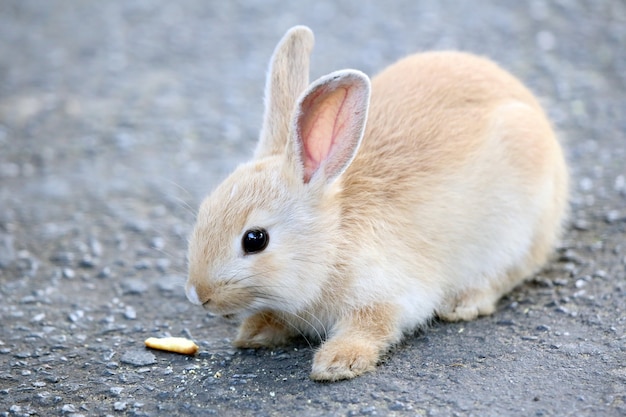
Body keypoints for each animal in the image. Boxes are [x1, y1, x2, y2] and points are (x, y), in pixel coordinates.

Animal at [184, 26, 564, 380]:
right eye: (203, 212)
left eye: (255, 239)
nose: (198, 295)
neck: (330, 243)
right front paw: (254, 333)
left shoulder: (387, 296)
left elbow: (371, 326)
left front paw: (337, 362)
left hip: (515, 230)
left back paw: (462, 303)